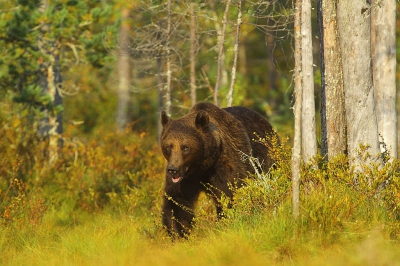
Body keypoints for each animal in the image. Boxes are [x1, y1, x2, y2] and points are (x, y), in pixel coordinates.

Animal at [159, 101, 276, 237]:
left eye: (185, 147)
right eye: (168, 146)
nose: (173, 169)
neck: (204, 163)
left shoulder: (226, 164)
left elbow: (231, 194)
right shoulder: (186, 178)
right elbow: (177, 201)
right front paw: (179, 233)